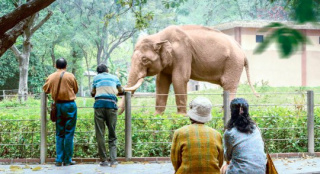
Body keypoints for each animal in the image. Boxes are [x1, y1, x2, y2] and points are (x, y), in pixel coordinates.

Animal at [120, 24, 258, 114]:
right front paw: (157, 116)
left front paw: (181, 116)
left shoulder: (182, 52)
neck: (159, 37)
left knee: (229, 85)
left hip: (233, 63)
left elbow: (179, 79)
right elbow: (161, 82)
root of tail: (242, 51)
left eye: (144, 60)